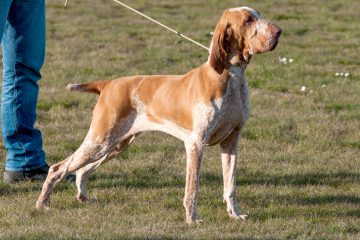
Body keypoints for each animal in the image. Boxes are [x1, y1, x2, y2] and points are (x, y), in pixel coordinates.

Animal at [36, 7, 282, 225]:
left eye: (258, 15)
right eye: (248, 20)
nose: (279, 31)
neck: (231, 77)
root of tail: (108, 84)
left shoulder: (231, 141)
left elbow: (230, 186)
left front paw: (235, 215)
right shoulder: (196, 144)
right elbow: (192, 189)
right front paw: (192, 219)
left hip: (115, 144)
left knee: (81, 170)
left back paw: (83, 197)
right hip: (100, 140)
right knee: (59, 168)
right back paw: (42, 204)